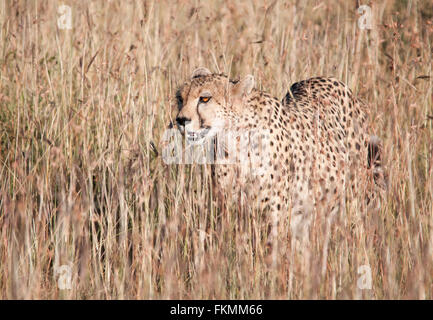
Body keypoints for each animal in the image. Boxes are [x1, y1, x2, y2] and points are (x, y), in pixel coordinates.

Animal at [172, 68, 382, 250]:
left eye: (205, 98)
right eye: (181, 98)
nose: (181, 120)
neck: (234, 139)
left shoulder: (275, 215)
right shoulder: (233, 210)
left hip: (352, 194)